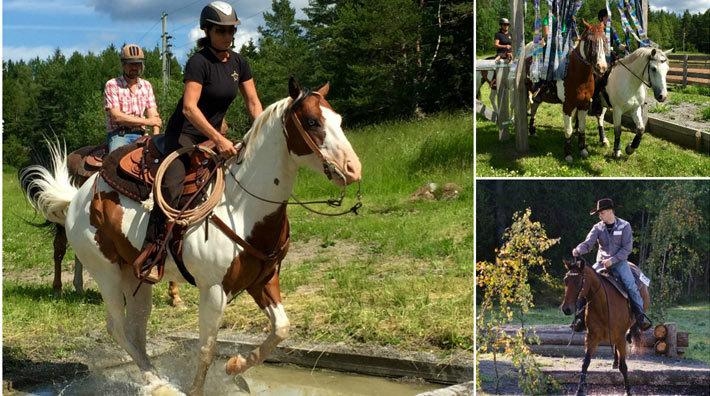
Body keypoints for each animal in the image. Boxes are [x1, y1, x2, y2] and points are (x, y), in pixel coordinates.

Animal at [22, 79, 364, 394]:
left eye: (339, 120)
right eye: (312, 122)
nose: (353, 168)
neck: (241, 205)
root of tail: (77, 197)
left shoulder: (263, 280)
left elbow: (281, 328)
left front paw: (235, 367)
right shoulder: (213, 290)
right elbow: (206, 349)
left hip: (135, 277)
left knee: (135, 330)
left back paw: (155, 378)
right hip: (107, 274)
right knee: (117, 328)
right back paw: (158, 384)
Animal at [528, 19, 612, 162]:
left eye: (605, 40)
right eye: (589, 41)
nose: (601, 68)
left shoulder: (584, 104)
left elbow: (582, 128)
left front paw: (583, 149)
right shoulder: (568, 105)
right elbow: (568, 130)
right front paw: (568, 154)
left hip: (539, 95)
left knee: (534, 107)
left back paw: (532, 130)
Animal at [560, 258, 652, 394]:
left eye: (579, 281)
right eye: (565, 280)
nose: (566, 309)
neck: (603, 305)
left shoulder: (620, 337)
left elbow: (623, 367)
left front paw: (628, 390)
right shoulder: (591, 337)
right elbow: (585, 363)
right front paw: (579, 390)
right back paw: (614, 362)